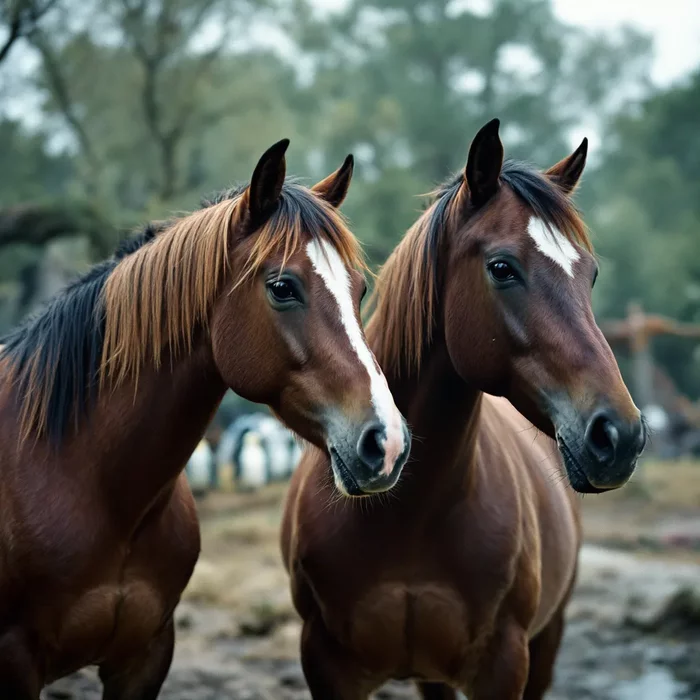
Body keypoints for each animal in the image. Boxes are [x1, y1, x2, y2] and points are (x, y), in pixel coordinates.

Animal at [282, 121, 648, 700]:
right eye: (502, 268)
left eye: (589, 275)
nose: (621, 437)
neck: (406, 517)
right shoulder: (327, 666)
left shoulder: (505, 665)